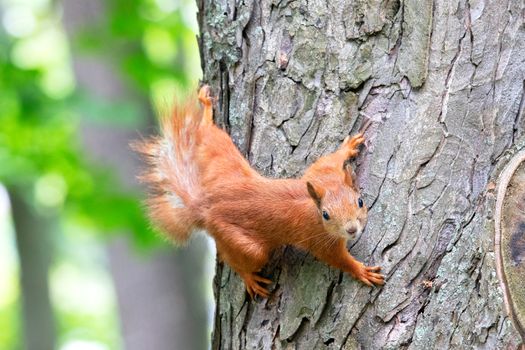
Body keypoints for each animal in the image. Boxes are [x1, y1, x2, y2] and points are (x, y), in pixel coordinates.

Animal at [135, 85, 384, 298]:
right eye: (326, 215)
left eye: (360, 201)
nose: (352, 230)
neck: (313, 205)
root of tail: (205, 207)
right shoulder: (319, 240)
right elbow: (337, 259)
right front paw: (360, 271)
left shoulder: (320, 175)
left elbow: (325, 161)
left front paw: (347, 147)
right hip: (244, 244)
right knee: (235, 257)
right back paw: (249, 278)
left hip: (223, 164)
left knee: (208, 136)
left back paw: (205, 109)